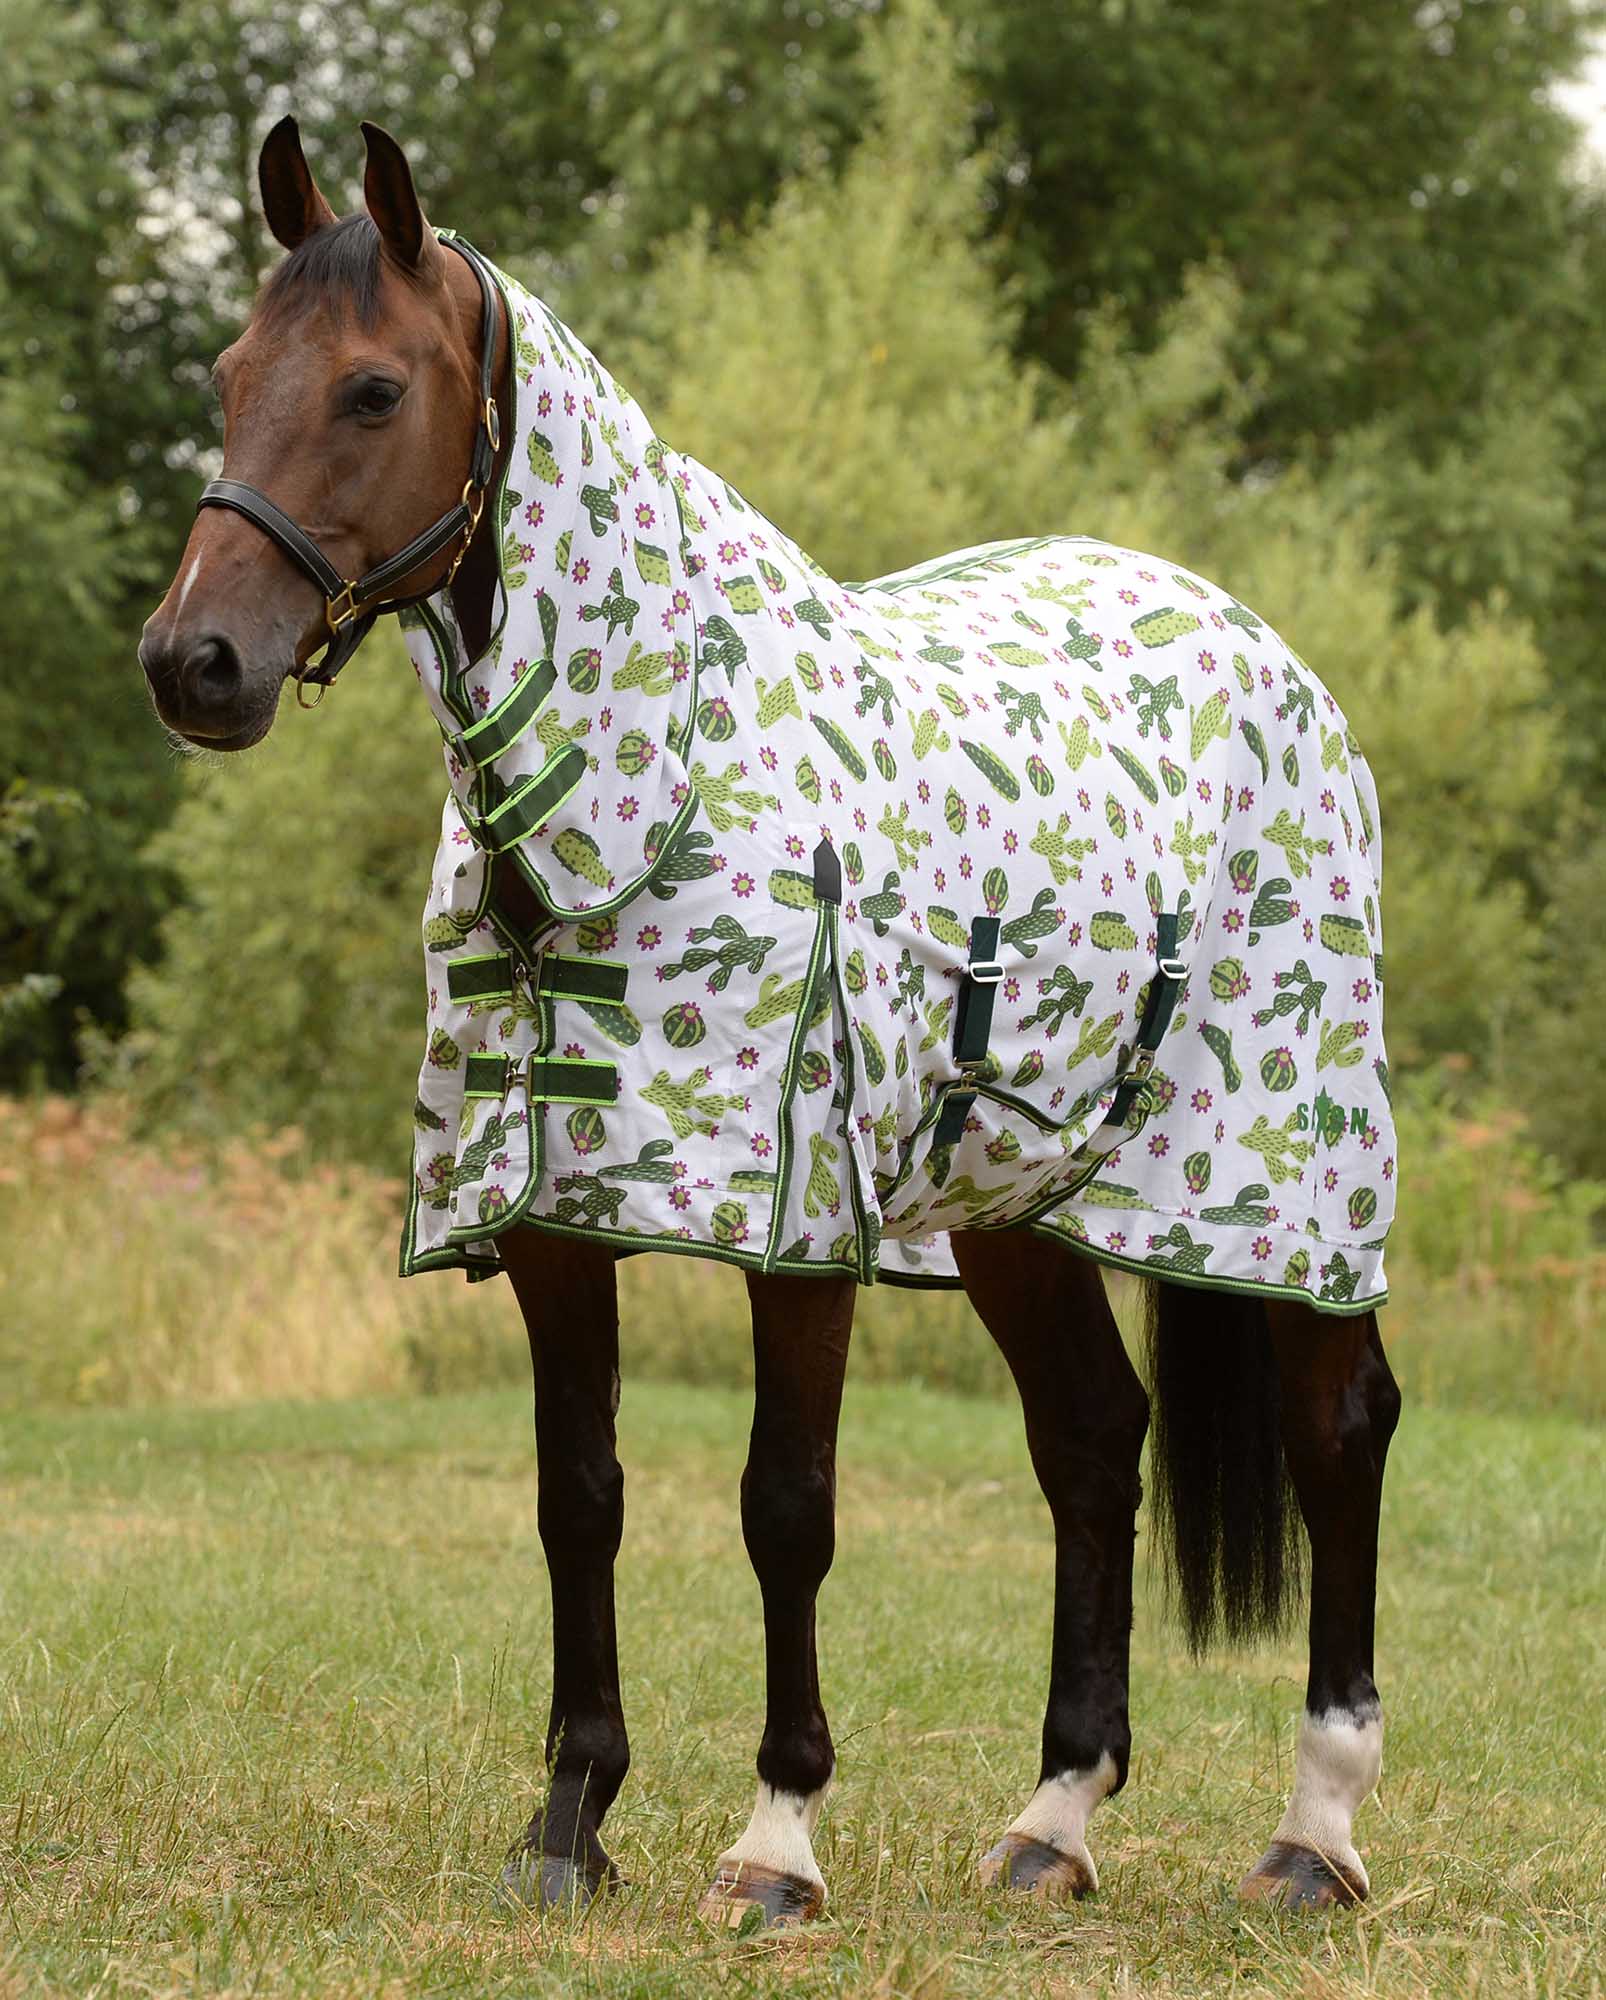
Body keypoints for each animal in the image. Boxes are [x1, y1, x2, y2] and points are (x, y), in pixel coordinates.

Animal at [138, 118, 1402, 1928]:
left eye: (373, 389)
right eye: (234, 374)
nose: (195, 663)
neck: (645, 785)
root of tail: (1263, 654)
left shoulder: (801, 1233)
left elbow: (782, 1507)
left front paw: (775, 1843)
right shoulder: (552, 1217)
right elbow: (578, 1501)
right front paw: (568, 1826)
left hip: (1285, 1191)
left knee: (1336, 1434)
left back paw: (1314, 1834)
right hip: (1011, 1207)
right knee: (1093, 1440)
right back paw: (1053, 1821)